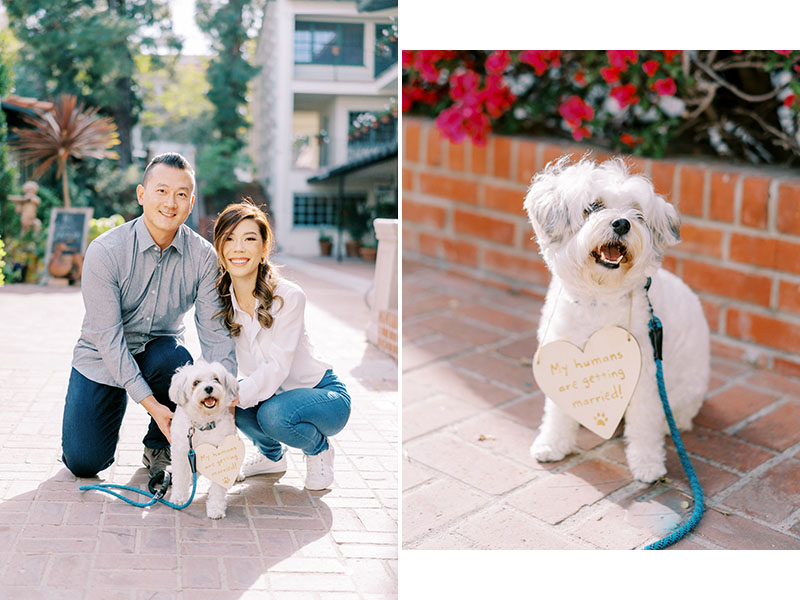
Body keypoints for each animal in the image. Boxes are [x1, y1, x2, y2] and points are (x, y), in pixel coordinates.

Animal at [170, 358, 239, 516]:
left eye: (216, 379)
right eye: (196, 382)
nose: (208, 388)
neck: (203, 424)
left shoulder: (221, 453)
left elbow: (218, 487)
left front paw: (215, 508)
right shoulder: (181, 452)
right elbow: (180, 477)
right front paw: (178, 497)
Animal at [528, 156, 708, 482]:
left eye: (637, 213)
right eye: (594, 206)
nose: (622, 223)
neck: (599, 299)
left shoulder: (645, 374)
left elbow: (644, 423)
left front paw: (647, 463)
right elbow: (557, 411)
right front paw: (552, 444)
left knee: (678, 415)